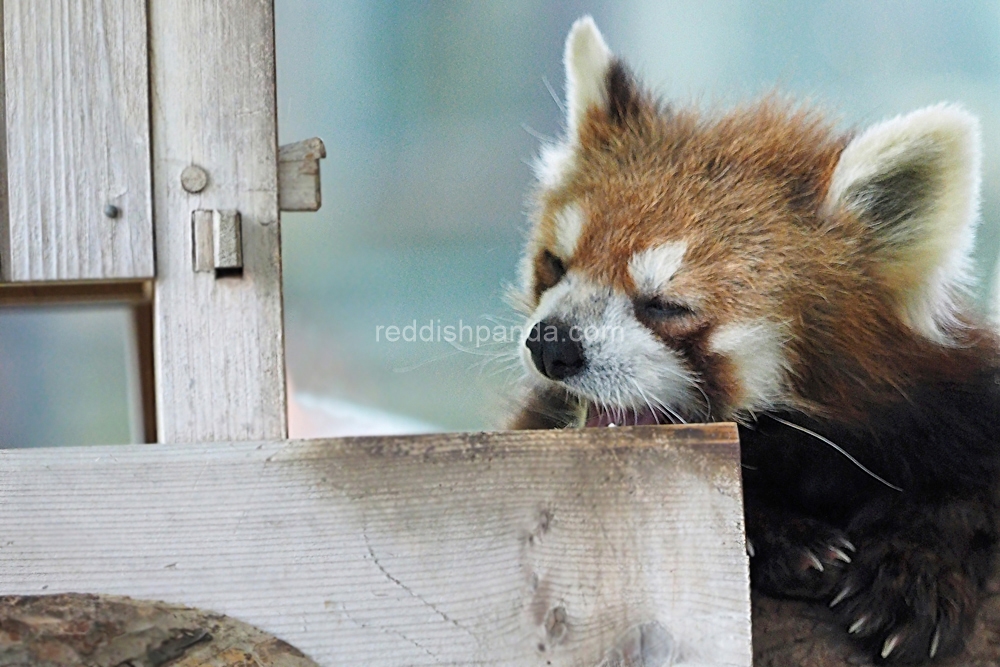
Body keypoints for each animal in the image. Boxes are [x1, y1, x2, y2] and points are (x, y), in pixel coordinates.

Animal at [516, 17, 1000, 667]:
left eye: (665, 305)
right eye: (556, 265)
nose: (551, 344)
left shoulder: (957, 403)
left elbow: (962, 493)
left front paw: (912, 572)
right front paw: (787, 541)